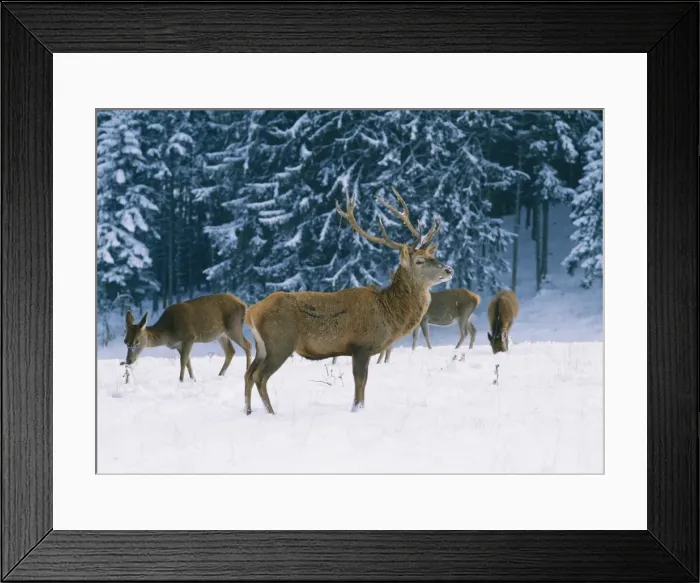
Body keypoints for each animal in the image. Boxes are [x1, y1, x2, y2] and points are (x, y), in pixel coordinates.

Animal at [123, 293, 253, 382]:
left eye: (137, 341)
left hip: (234, 326)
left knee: (248, 345)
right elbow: (188, 362)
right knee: (230, 351)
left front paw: (181, 381)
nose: (128, 360)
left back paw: (247, 372)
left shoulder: (189, 337)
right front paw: (193, 380)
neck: (169, 333)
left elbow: (183, 361)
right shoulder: (178, 345)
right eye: (125, 341)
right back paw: (220, 375)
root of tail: (244, 305)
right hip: (221, 334)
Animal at [244, 187, 453, 415]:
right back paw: (271, 413)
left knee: (248, 373)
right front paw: (357, 409)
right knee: (259, 376)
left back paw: (248, 410)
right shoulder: (361, 345)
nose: (449, 269)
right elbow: (360, 383)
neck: (388, 314)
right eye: (420, 261)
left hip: (262, 346)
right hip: (280, 342)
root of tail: (251, 312)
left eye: (433, 256)